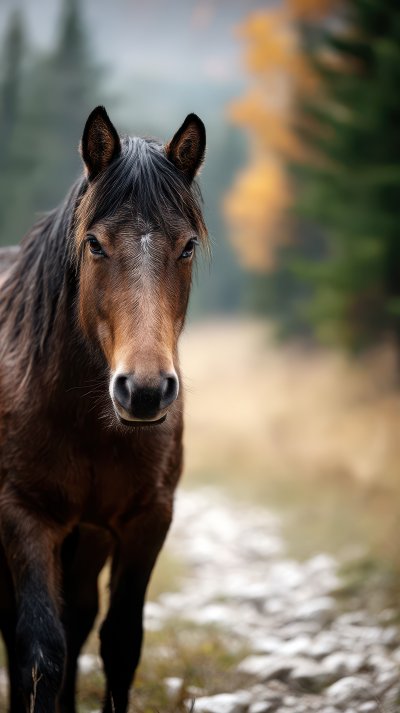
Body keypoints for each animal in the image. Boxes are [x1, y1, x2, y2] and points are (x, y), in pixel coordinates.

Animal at [0, 105, 207, 713]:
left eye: (187, 246)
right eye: (94, 244)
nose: (144, 391)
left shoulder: (147, 519)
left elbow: (119, 643)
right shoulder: (23, 515)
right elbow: (39, 652)